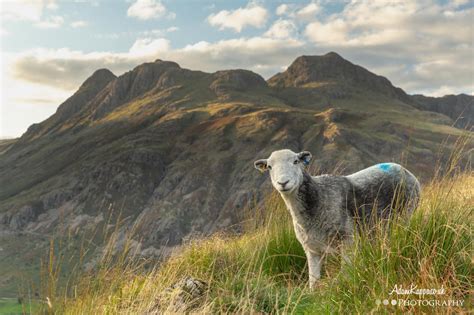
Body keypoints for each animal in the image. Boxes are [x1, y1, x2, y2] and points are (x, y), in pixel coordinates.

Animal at [254, 149, 420, 290]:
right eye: (269, 167)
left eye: (296, 161)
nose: (283, 183)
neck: (318, 197)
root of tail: (404, 170)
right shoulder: (311, 249)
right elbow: (313, 281)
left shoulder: (348, 240)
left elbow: (346, 272)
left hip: (406, 212)